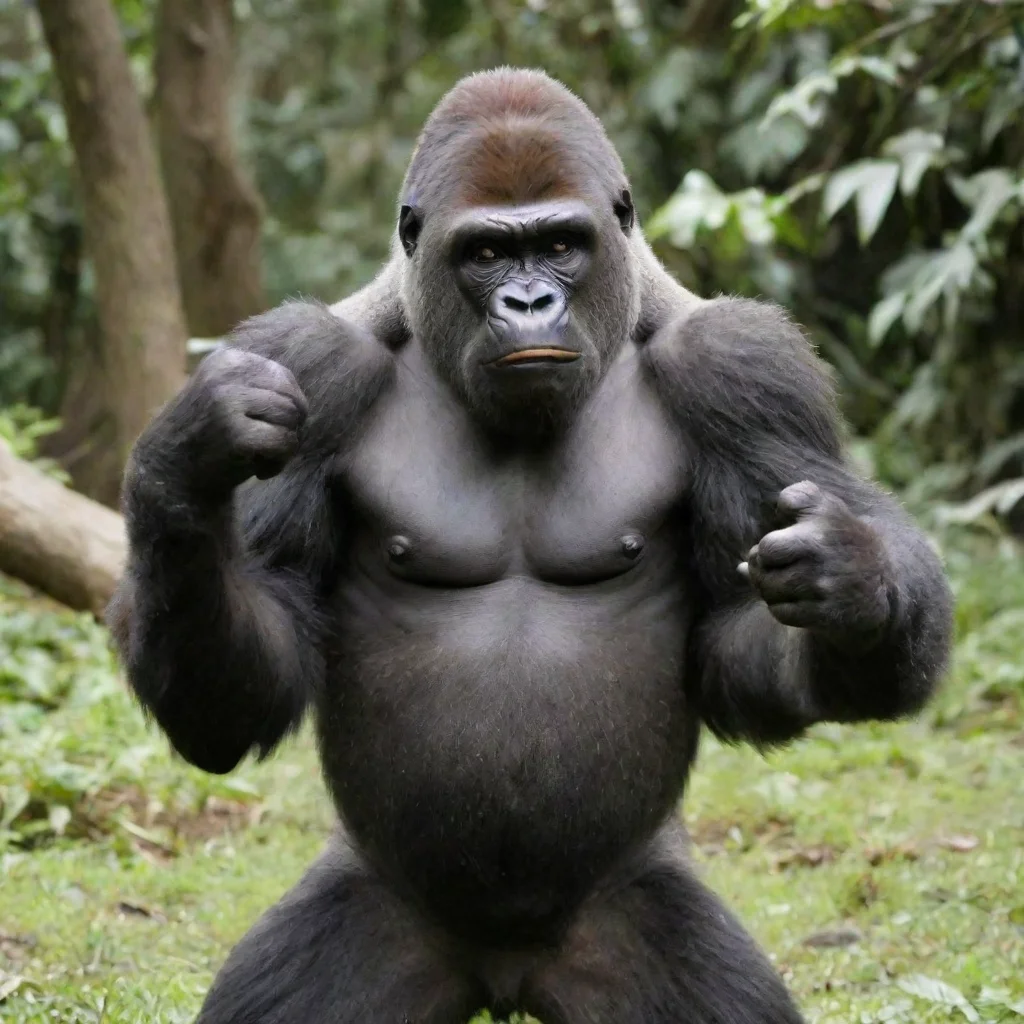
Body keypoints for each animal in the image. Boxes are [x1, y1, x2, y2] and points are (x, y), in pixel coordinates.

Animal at [109, 67, 953, 1024]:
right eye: (484, 255)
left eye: (559, 246)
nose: (528, 304)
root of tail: (504, 973)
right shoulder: (305, 358)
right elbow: (254, 675)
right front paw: (183, 465)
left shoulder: (744, 368)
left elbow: (739, 639)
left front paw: (859, 591)